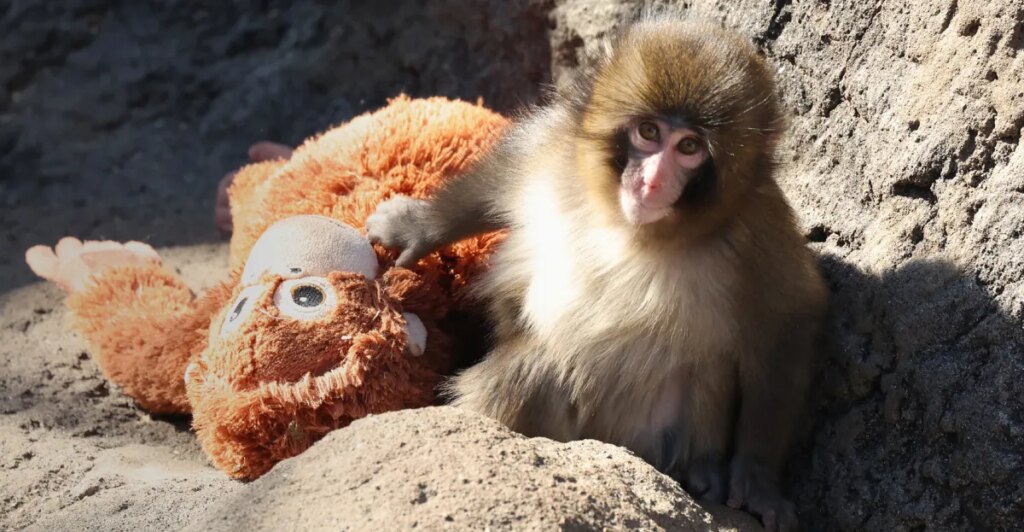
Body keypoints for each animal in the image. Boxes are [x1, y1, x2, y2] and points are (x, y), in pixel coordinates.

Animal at [366, 14, 827, 531]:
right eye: (648, 132)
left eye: (689, 147)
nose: (651, 181)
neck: (630, 228)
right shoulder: (556, 150)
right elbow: (501, 176)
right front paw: (417, 227)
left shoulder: (759, 232)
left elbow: (786, 323)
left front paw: (758, 478)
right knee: (534, 369)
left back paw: (702, 471)